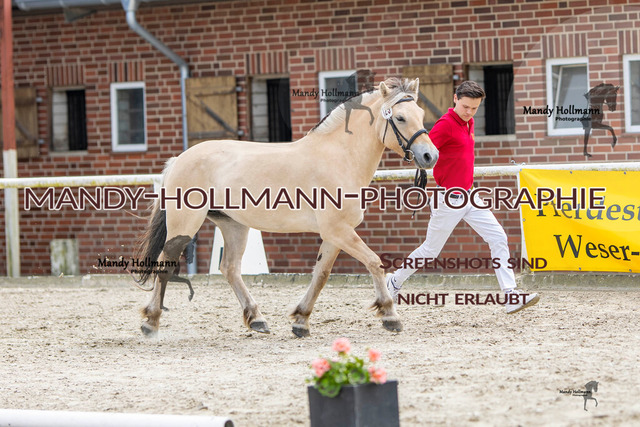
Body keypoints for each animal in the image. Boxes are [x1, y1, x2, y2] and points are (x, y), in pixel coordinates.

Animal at [134, 77, 439, 338]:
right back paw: (151, 321)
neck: (339, 157)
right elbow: (374, 262)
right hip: (185, 222)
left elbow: (321, 275)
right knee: (165, 263)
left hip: (233, 225)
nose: (429, 155)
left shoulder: (335, 235)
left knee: (230, 268)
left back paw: (256, 319)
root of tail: (180, 159)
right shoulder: (338, 230)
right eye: (400, 117)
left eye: (420, 113)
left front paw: (301, 320)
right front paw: (390, 315)